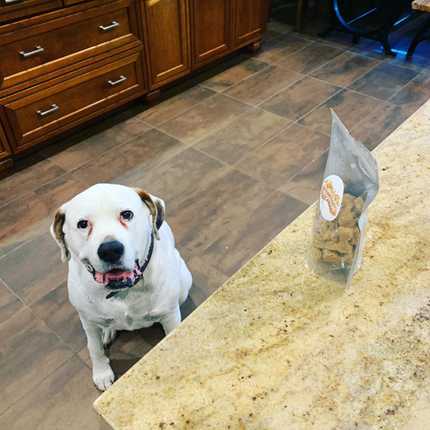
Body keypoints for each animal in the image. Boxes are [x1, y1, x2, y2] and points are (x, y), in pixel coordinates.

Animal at [50, 183, 191, 392]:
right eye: (82, 224)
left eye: (127, 214)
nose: (110, 250)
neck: (122, 292)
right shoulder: (88, 322)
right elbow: (94, 348)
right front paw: (101, 373)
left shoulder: (170, 315)